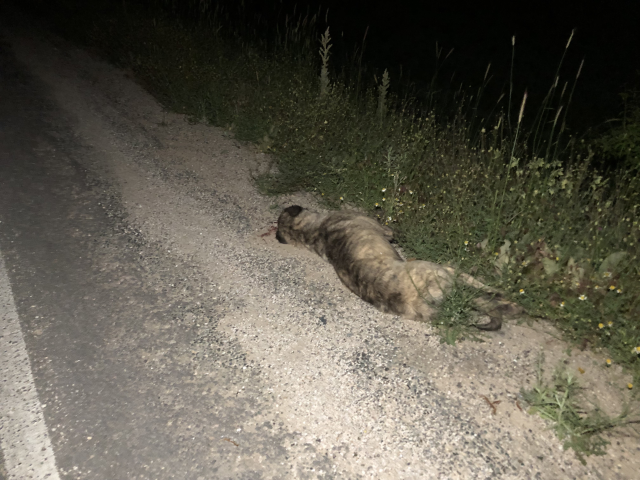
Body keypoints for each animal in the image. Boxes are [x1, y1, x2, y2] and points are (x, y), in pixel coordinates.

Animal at [274, 206, 520, 330]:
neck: (312, 232)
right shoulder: (385, 230)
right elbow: (393, 230)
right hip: (444, 271)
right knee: (483, 292)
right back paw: (509, 301)